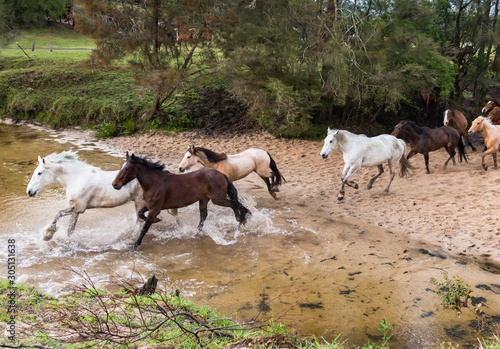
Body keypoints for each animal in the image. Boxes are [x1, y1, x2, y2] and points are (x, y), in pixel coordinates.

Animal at [111, 152, 248, 247]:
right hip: (204, 199)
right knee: (204, 215)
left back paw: (240, 219)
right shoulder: (151, 206)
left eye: (127, 168)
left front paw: (135, 244)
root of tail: (221, 174)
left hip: (218, 199)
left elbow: (145, 227)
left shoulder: (154, 209)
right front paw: (157, 220)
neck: (154, 183)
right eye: (122, 167)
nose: (115, 185)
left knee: (233, 204)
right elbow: (140, 213)